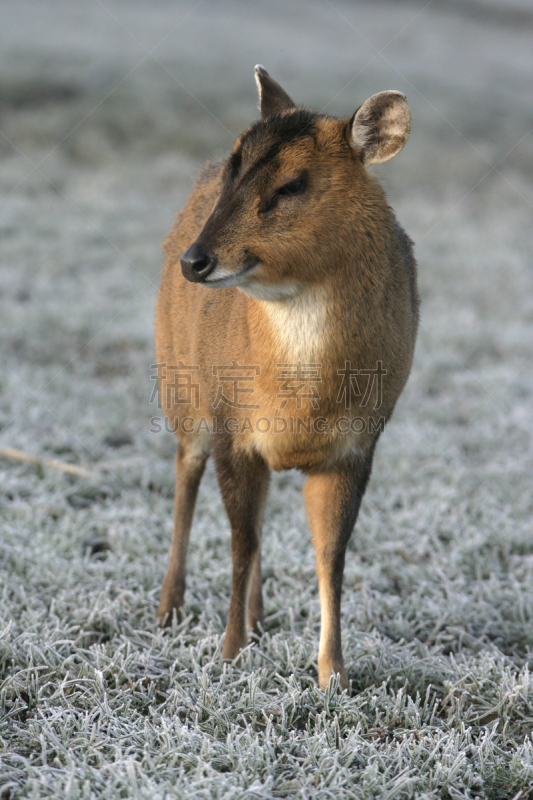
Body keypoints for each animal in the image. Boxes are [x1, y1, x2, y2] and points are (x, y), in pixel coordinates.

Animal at [155, 65, 420, 692]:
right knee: (185, 475)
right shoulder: (231, 429)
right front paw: (228, 657)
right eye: (233, 167)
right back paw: (170, 609)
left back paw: (259, 620)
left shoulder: (356, 446)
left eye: (293, 184)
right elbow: (240, 542)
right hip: (180, 382)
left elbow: (331, 557)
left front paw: (333, 676)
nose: (194, 260)